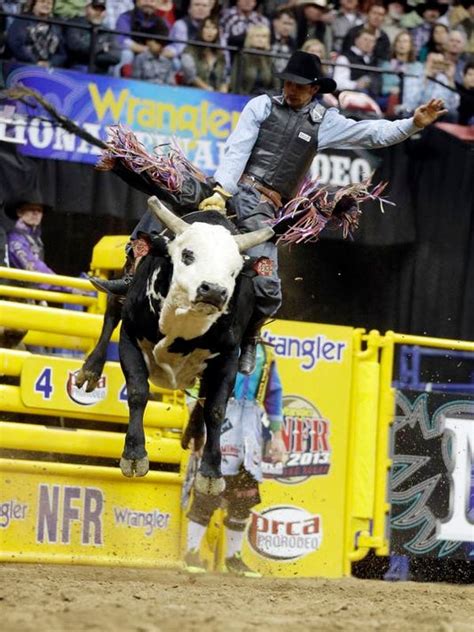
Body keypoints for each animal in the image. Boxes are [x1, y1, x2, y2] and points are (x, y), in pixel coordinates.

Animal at [79, 198, 270, 494]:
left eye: (234, 270)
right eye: (188, 255)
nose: (214, 290)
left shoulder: (227, 357)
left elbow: (216, 410)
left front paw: (211, 474)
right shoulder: (130, 338)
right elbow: (138, 392)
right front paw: (134, 456)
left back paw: (194, 433)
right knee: (111, 310)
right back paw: (90, 369)